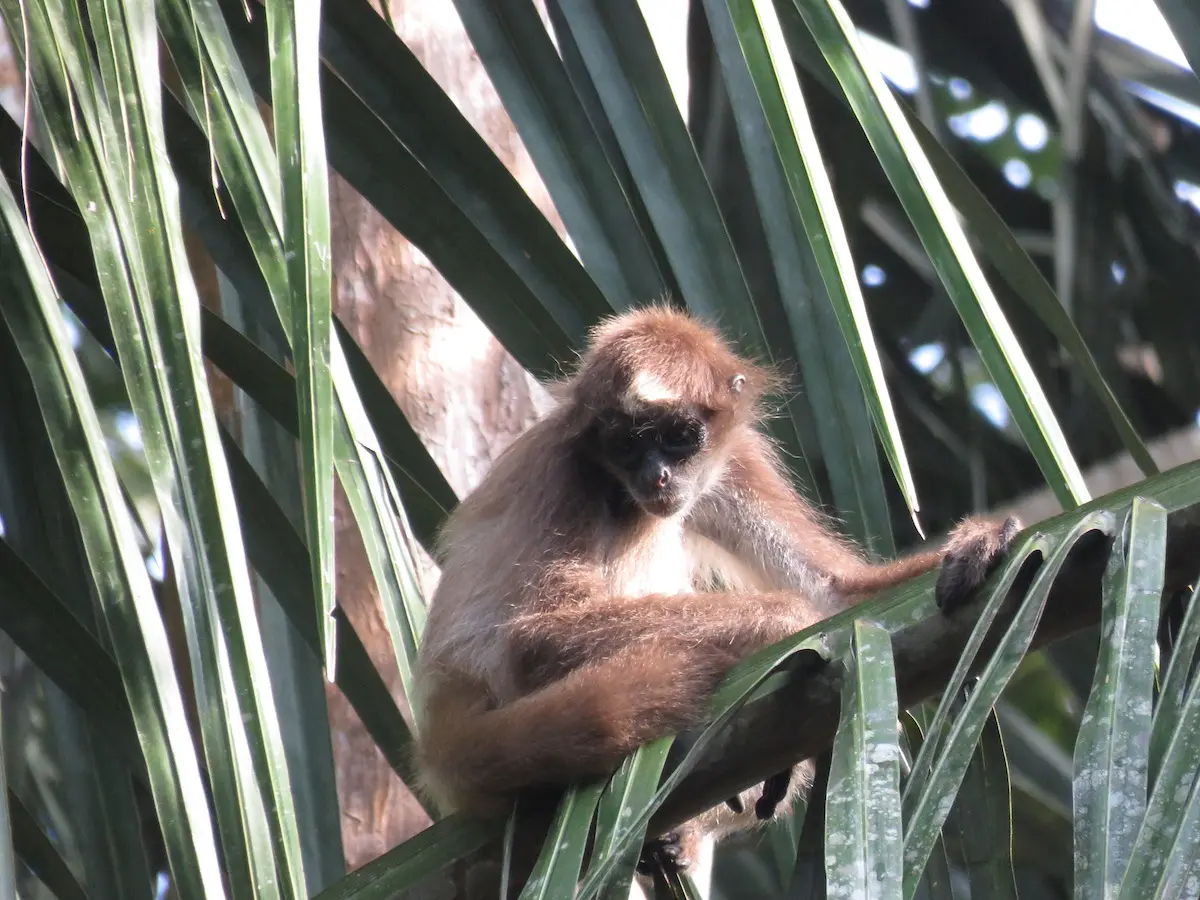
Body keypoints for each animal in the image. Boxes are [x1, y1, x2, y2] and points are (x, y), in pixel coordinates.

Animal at [415, 309, 1022, 883]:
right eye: (626, 444)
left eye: (678, 436)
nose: (656, 476)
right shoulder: (567, 471)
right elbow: (531, 641)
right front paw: (782, 623)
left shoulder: (732, 460)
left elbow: (836, 593)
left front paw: (985, 542)